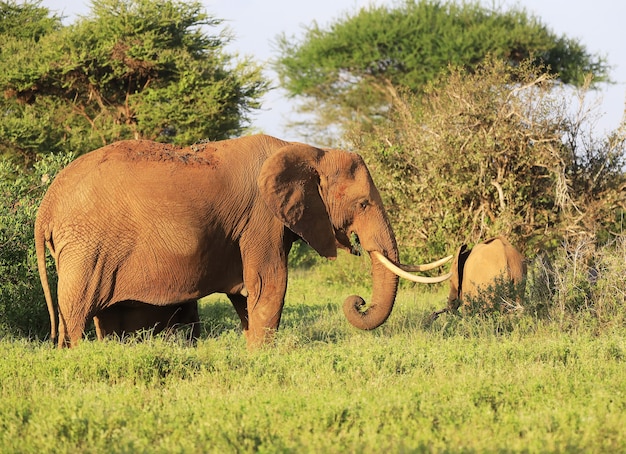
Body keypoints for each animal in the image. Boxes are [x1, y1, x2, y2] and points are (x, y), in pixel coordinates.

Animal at [35, 134, 448, 348]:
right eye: (362, 204)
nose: (357, 301)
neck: (310, 150)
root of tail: (45, 208)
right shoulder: (261, 218)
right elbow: (269, 282)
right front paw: (263, 355)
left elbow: (247, 292)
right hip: (86, 246)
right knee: (76, 311)